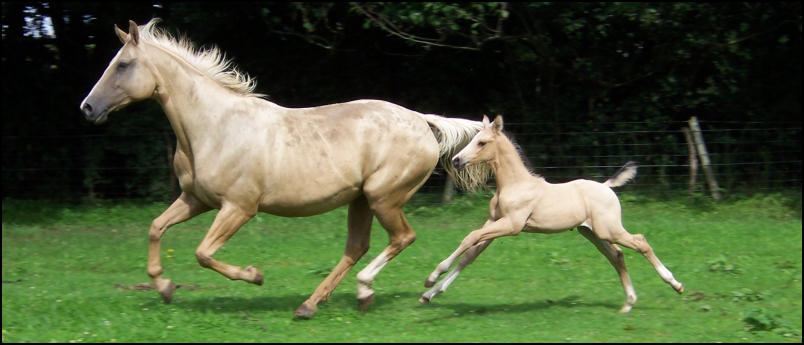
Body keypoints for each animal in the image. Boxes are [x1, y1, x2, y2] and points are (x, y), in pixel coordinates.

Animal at [420, 115, 684, 312]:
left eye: (482, 142)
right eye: (473, 139)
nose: (456, 160)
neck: (515, 184)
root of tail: (607, 186)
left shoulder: (512, 225)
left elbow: (470, 237)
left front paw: (433, 277)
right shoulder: (494, 222)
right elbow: (469, 255)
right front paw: (429, 294)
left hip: (609, 229)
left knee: (640, 242)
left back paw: (675, 284)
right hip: (593, 233)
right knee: (617, 255)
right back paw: (628, 303)